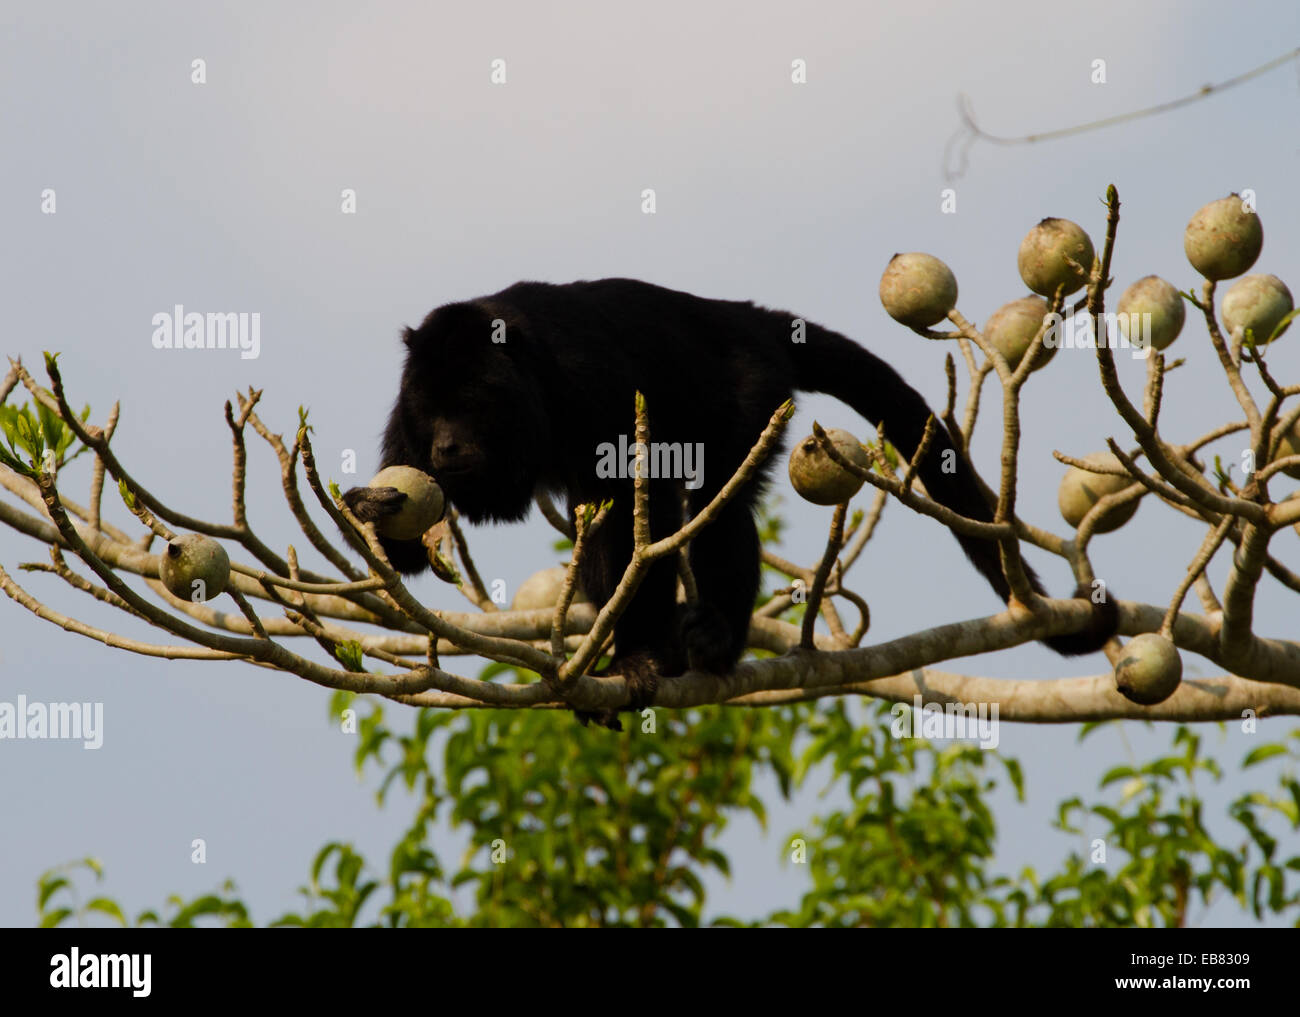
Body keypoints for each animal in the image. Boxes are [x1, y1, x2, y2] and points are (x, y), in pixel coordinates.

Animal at [345, 278, 1118, 723]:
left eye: (473, 403)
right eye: (433, 407)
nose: (446, 448)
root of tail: (745, 318)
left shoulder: (586, 379)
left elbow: (647, 491)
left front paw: (638, 657)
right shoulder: (402, 423)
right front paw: (376, 514)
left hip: (752, 389)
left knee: (717, 497)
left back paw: (713, 638)